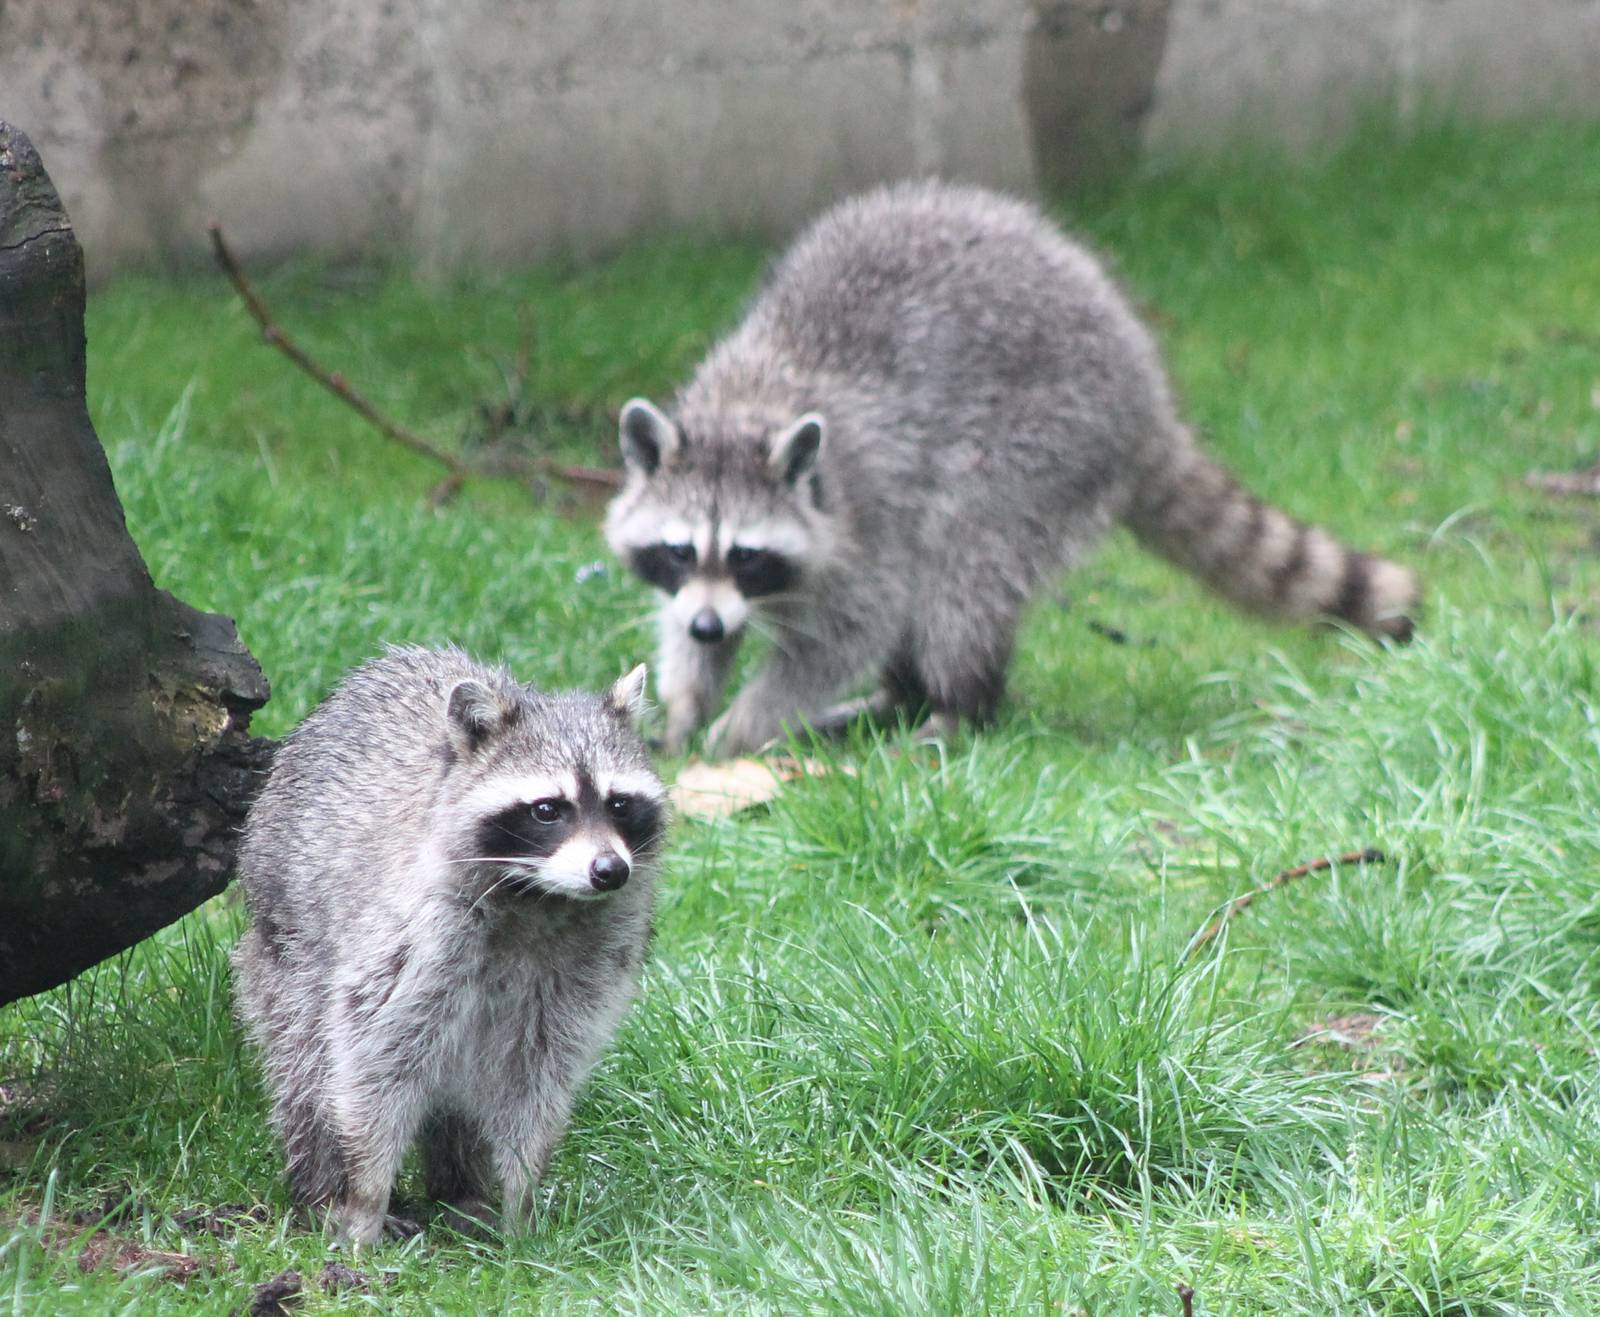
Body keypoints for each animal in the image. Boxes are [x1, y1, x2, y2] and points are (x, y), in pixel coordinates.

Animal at [231, 646, 665, 1246]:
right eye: (547, 809)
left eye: (619, 804)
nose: (610, 871)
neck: (538, 896)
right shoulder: (411, 935)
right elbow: (371, 1061)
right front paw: (366, 1193)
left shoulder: (590, 957)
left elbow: (538, 1074)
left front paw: (520, 1196)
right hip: (286, 944)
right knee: (306, 1063)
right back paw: (320, 1185)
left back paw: (463, 1187)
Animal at [604, 180, 1418, 756]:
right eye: (680, 550)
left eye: (747, 555)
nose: (709, 624)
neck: (746, 406)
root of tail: (1146, 399)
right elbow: (689, 629)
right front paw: (686, 700)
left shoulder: (867, 512)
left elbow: (850, 629)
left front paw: (747, 721)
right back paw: (900, 700)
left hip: (1042, 444)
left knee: (960, 573)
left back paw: (956, 708)